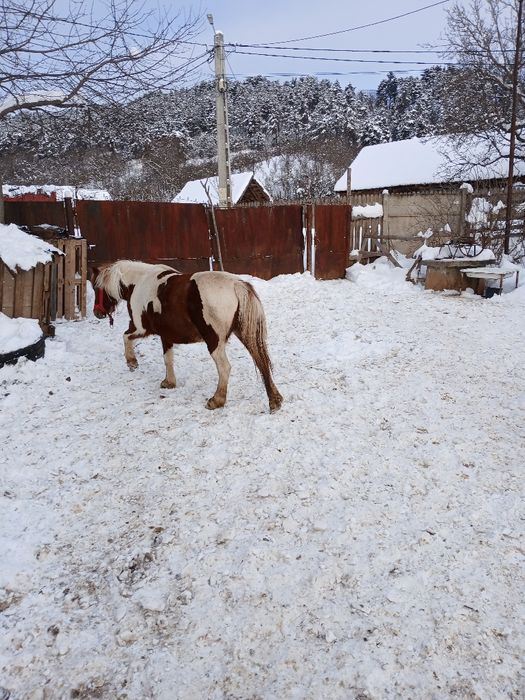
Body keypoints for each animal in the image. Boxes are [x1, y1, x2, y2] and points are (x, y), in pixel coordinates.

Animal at [91, 260, 283, 413]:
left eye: (95, 287)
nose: (97, 313)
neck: (138, 283)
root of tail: (236, 284)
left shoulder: (140, 329)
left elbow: (125, 337)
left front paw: (132, 362)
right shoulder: (166, 336)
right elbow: (168, 359)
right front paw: (169, 382)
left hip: (214, 341)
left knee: (225, 368)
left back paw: (217, 400)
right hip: (245, 334)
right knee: (261, 360)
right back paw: (274, 401)